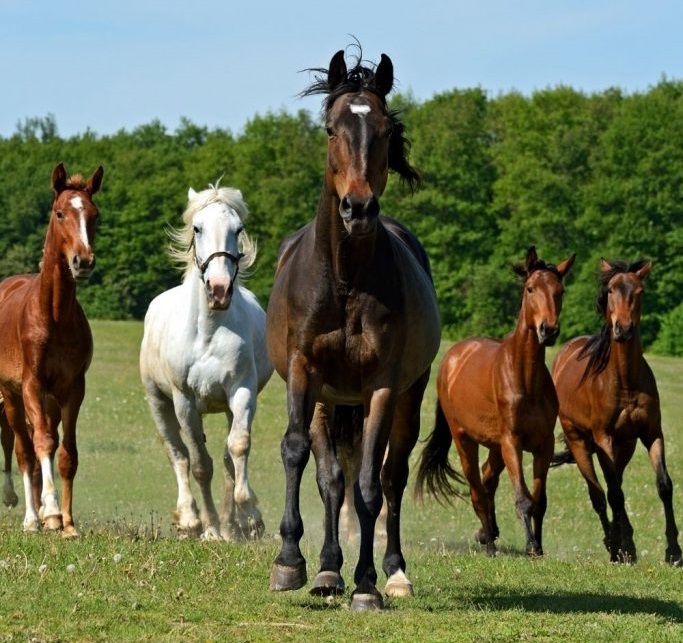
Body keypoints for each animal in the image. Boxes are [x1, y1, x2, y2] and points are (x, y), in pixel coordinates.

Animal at [0, 162, 103, 540]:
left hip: (50, 402)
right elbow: (42, 443)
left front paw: (68, 524)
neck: (55, 316)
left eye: (94, 215)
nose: (82, 261)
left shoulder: (73, 388)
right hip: (12, 398)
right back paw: (33, 517)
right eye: (60, 213)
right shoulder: (32, 384)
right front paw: (53, 511)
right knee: (23, 450)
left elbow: (67, 453)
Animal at [140, 184, 272, 540]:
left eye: (238, 229)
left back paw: (230, 526)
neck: (209, 331)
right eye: (197, 228)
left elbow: (237, 449)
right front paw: (209, 529)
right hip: (159, 404)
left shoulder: (241, 392)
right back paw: (191, 519)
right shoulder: (184, 401)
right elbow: (200, 465)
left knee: (226, 459)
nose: (220, 289)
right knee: (178, 455)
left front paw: (247, 518)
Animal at [264, 47, 440, 612]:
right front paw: (291, 562)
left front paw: (366, 584)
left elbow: (371, 484)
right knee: (330, 478)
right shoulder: (305, 372)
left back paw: (392, 572)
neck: (342, 281)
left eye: (385, 131)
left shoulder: (383, 386)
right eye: (329, 129)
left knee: (390, 477)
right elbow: (299, 454)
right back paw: (326, 569)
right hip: (329, 399)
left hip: (405, 395)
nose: (358, 207)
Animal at [414, 247, 576, 560]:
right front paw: (529, 545)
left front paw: (538, 547)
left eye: (560, 290)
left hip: (494, 446)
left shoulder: (544, 444)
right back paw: (489, 542)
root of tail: (452, 358)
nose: (548, 330)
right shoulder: (512, 441)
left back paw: (487, 532)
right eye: (530, 288)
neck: (525, 377)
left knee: (488, 480)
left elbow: (540, 500)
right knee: (477, 490)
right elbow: (523, 498)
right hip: (465, 440)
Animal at [552, 256, 680, 564]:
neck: (625, 381)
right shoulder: (604, 438)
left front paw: (673, 551)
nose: (623, 329)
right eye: (610, 291)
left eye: (639, 291)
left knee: (614, 486)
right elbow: (614, 495)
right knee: (600, 495)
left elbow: (664, 485)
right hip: (581, 442)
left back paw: (623, 542)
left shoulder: (651, 434)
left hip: (624, 446)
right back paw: (614, 545)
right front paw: (623, 550)